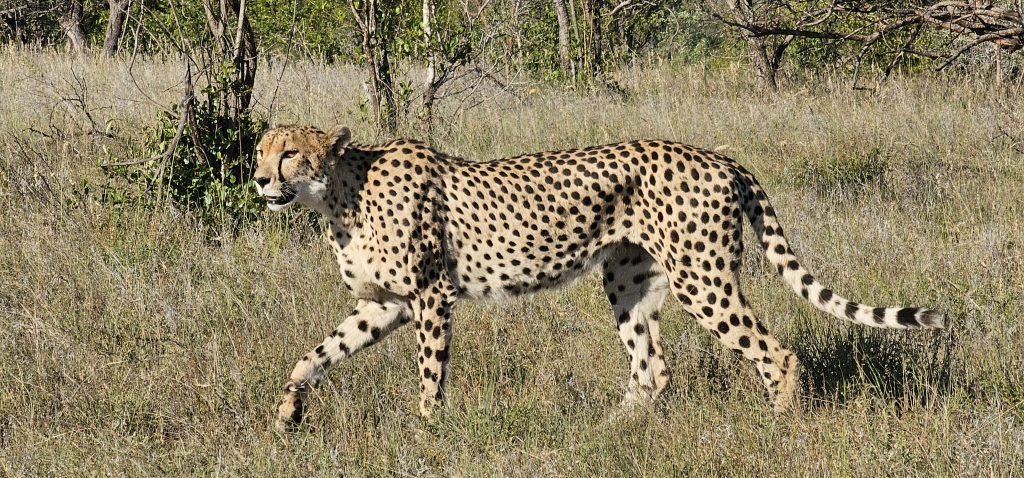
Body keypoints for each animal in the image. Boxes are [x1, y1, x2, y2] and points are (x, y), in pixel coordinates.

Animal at [252, 124, 943, 432]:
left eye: (290, 154)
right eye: (262, 149)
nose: (257, 179)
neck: (340, 194)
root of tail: (717, 155)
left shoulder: (430, 295)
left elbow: (429, 373)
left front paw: (427, 430)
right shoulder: (386, 304)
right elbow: (313, 355)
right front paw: (288, 413)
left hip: (704, 279)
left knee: (774, 350)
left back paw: (779, 426)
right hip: (628, 283)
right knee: (652, 367)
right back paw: (606, 431)